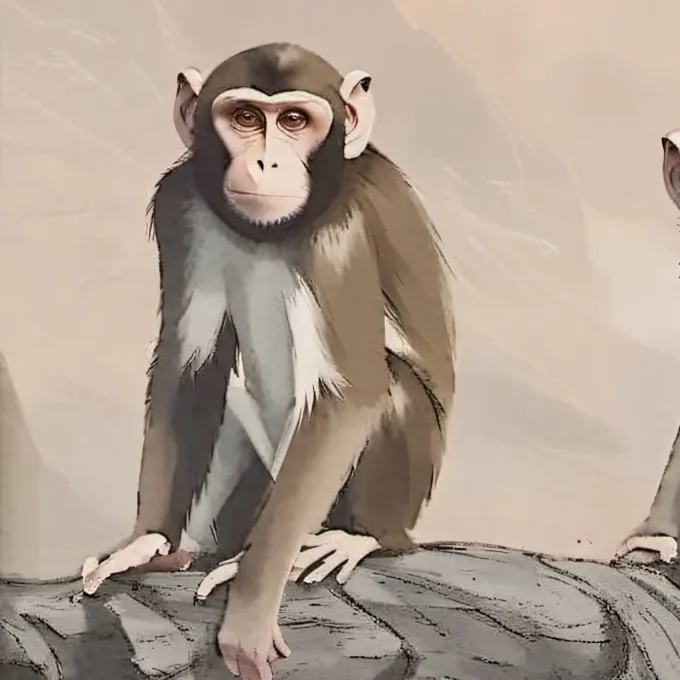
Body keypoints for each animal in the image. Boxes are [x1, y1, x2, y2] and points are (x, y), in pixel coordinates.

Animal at [81, 43, 455, 680]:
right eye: (246, 118)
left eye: (296, 121)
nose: (265, 162)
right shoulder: (180, 204)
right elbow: (187, 365)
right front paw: (145, 541)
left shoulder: (340, 236)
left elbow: (351, 392)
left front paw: (251, 607)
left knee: (394, 384)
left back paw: (357, 537)